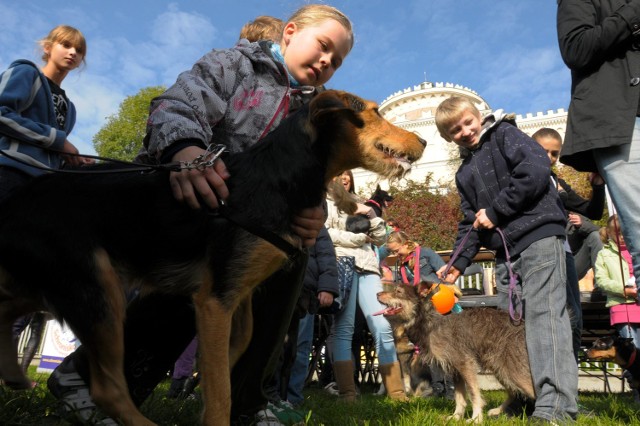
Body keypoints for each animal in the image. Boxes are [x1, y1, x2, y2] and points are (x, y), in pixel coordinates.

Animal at [0, 89, 428, 422]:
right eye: (372, 111)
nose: (423, 142)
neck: (276, 176)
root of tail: (14, 199)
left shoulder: (236, 304)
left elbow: (222, 371)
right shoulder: (215, 301)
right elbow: (220, 391)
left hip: (46, 284)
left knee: (7, 312)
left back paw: (14, 376)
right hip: (96, 289)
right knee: (107, 389)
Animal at [376, 282, 536, 422]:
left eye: (398, 291)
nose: (377, 293)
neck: (430, 323)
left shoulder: (465, 364)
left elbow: (474, 394)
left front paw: (476, 419)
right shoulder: (455, 370)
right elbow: (460, 398)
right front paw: (456, 417)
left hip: (513, 371)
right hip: (501, 370)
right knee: (513, 393)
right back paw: (498, 410)